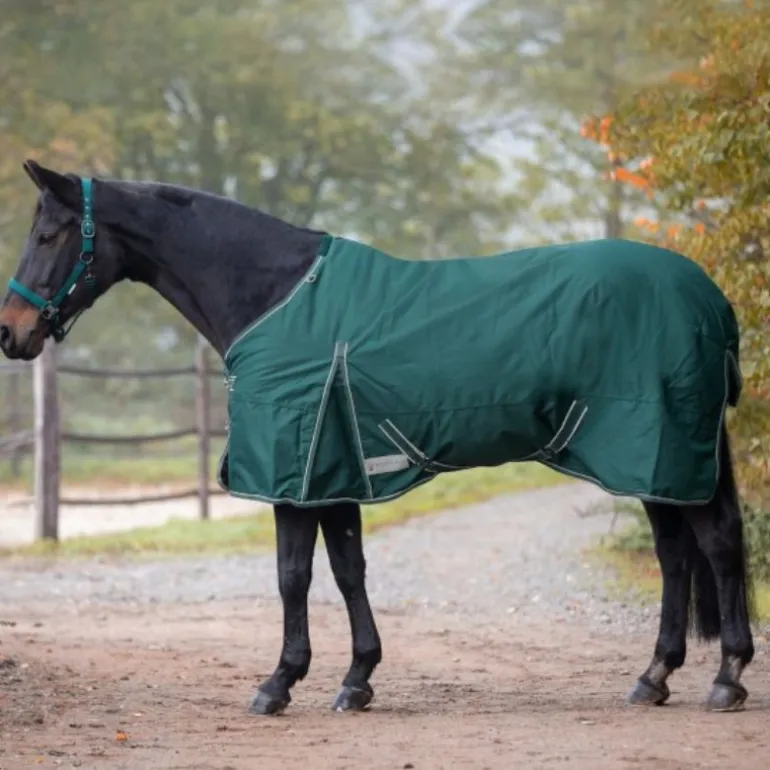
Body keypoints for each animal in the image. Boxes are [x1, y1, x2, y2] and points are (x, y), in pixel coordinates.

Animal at [0, 160, 755, 715]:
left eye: (50, 235)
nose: (12, 332)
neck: (275, 294)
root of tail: (711, 298)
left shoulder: (296, 473)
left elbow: (294, 575)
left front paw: (279, 683)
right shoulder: (332, 472)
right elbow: (347, 570)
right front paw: (356, 678)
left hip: (658, 449)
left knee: (715, 545)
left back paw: (727, 678)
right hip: (654, 462)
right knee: (676, 556)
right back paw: (655, 676)